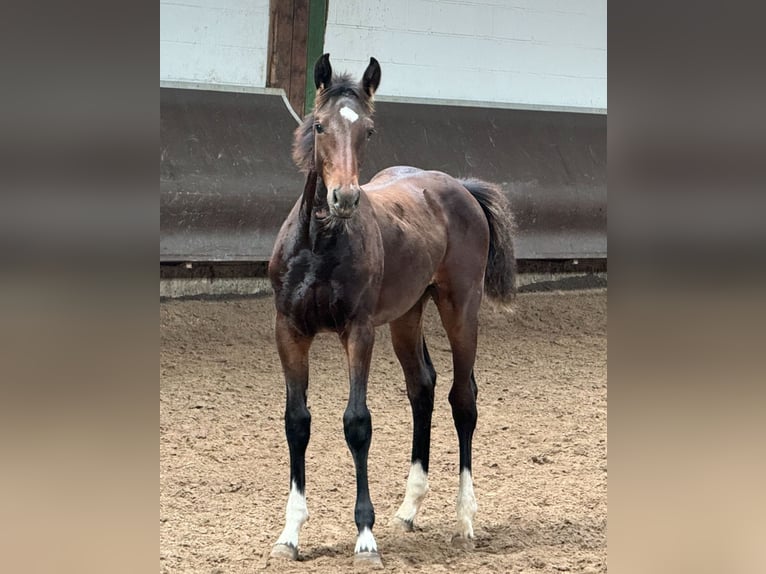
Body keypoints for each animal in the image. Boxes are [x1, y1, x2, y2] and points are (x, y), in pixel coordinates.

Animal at [268, 54, 516, 568]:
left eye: (368, 129)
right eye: (319, 125)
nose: (344, 198)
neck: (319, 245)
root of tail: (461, 187)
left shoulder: (359, 331)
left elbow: (357, 424)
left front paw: (365, 538)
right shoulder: (289, 330)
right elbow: (297, 421)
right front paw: (289, 536)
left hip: (461, 308)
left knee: (463, 398)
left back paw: (465, 520)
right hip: (407, 315)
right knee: (422, 387)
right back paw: (408, 509)